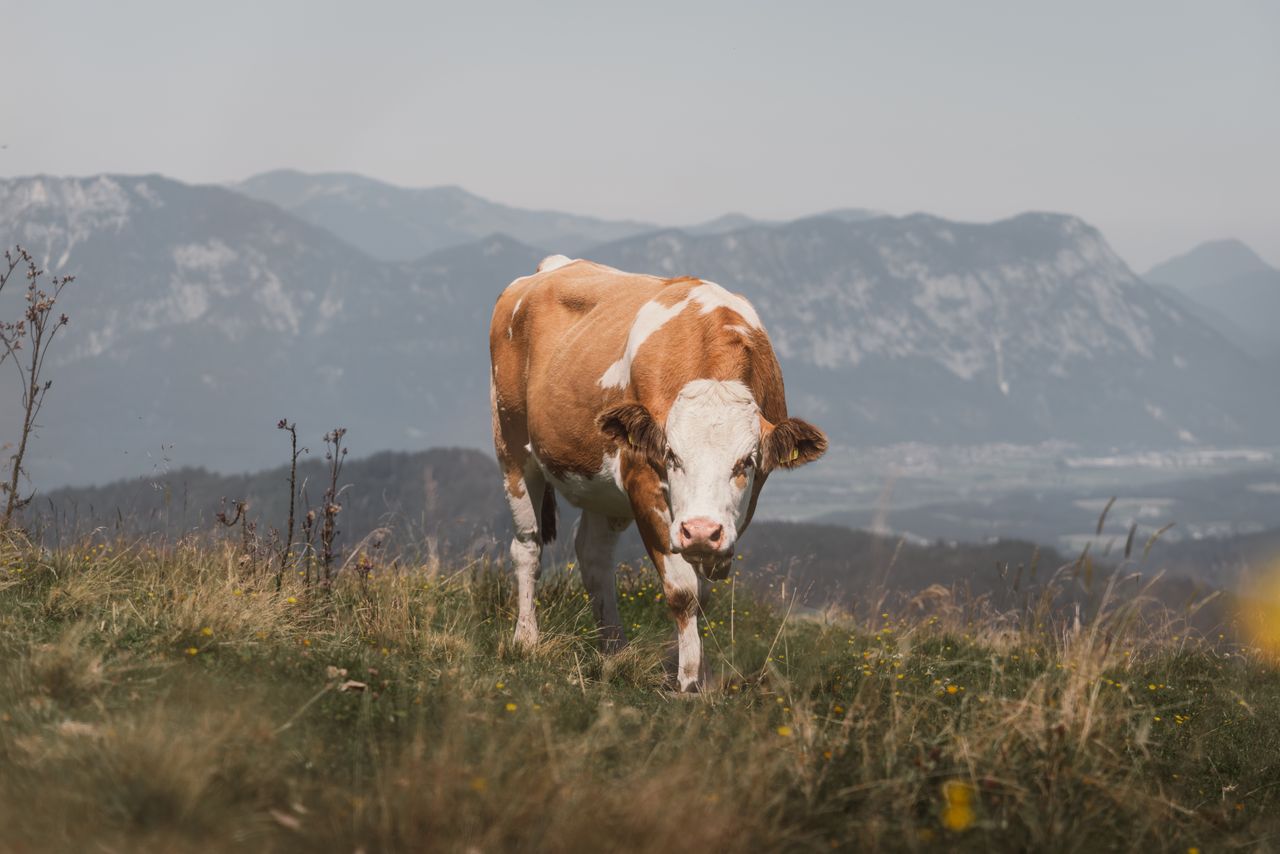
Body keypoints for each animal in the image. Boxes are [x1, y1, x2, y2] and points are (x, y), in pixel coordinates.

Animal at [489, 255, 827, 692]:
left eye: (746, 462)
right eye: (672, 456)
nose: (699, 530)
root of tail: (554, 266)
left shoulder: (735, 515)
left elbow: (704, 591)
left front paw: (702, 677)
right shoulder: (643, 482)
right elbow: (683, 591)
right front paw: (688, 682)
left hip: (602, 493)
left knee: (593, 554)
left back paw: (614, 651)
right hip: (512, 446)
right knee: (528, 547)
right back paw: (526, 639)